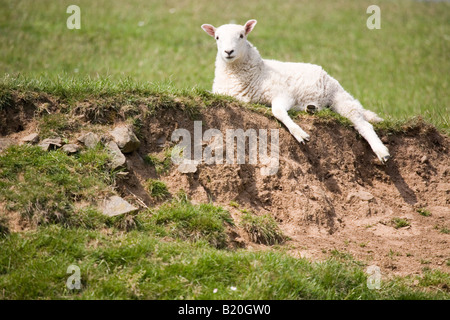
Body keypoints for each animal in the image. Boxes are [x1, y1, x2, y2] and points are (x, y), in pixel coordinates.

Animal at [200, 19, 390, 164]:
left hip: (338, 96)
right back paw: (311, 108)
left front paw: (299, 133)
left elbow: (277, 111)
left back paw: (381, 151)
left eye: (241, 36)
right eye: (217, 37)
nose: (228, 52)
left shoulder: (283, 93)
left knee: (363, 123)